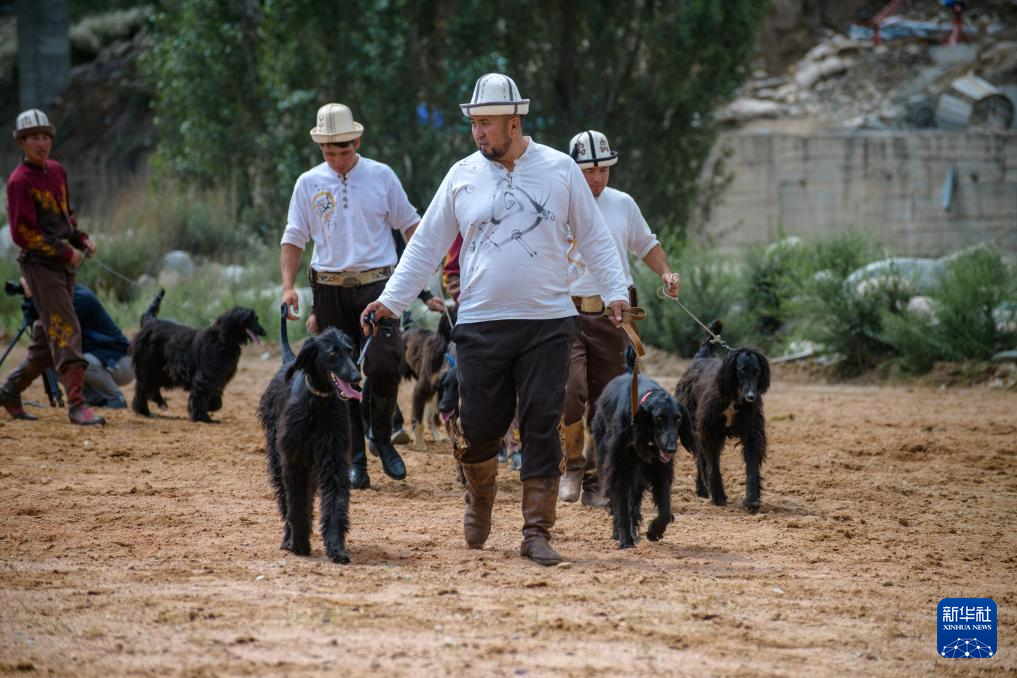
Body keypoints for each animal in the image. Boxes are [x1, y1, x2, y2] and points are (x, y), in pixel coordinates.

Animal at [130, 290, 266, 422]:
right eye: (251, 319)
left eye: (256, 318)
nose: (264, 332)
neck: (222, 341)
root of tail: (150, 321)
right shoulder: (205, 378)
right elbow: (201, 398)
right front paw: (203, 417)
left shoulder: (217, 379)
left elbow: (215, 400)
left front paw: (209, 408)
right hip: (149, 366)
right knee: (142, 386)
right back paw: (145, 411)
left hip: (160, 369)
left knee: (150, 386)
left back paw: (156, 403)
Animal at [258, 306, 362, 564]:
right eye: (333, 352)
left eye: (350, 350)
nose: (357, 377)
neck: (317, 405)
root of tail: (288, 360)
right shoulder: (294, 460)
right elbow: (296, 502)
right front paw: (298, 543)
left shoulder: (332, 458)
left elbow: (334, 502)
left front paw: (336, 548)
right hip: (277, 455)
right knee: (284, 497)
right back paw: (288, 536)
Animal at [400, 308, 456, 449]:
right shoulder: (423, 387)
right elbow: (418, 420)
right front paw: (420, 444)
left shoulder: (443, 388)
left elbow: (433, 416)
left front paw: (436, 436)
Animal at [592, 350, 700, 549]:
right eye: (659, 418)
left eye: (678, 418)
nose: (671, 449)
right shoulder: (619, 467)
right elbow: (621, 505)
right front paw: (625, 539)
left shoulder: (659, 467)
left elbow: (665, 511)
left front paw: (654, 531)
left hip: (638, 473)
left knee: (634, 500)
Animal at [673, 320, 770, 513]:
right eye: (741, 370)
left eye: (757, 371)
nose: (751, 397)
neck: (734, 397)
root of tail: (701, 357)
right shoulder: (709, 430)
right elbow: (712, 464)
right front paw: (718, 496)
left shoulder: (752, 432)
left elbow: (752, 465)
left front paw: (752, 500)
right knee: (700, 459)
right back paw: (703, 489)